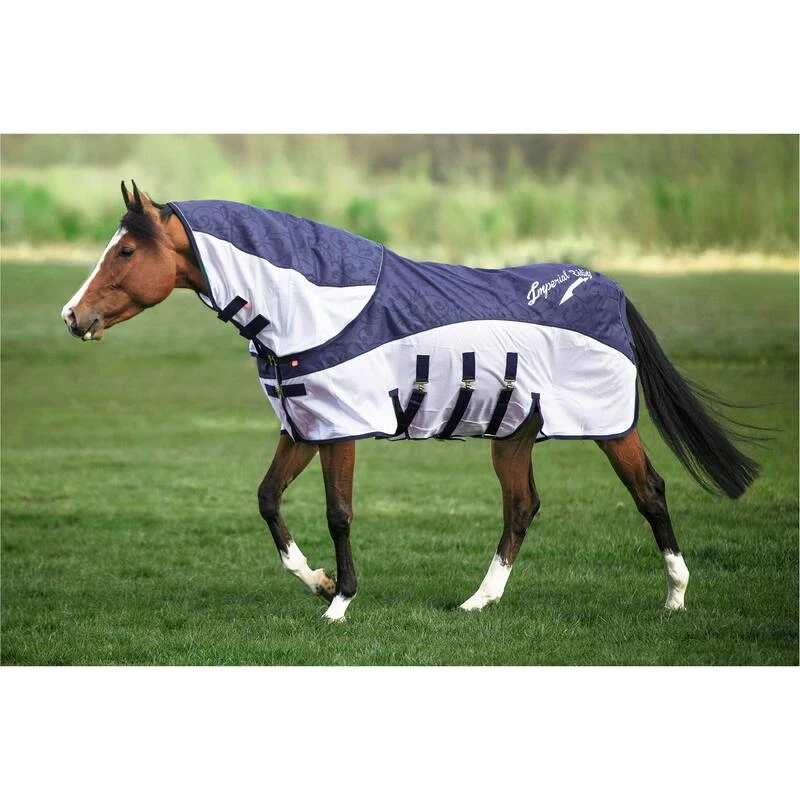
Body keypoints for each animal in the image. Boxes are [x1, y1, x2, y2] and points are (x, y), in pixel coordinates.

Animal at [60, 181, 760, 622]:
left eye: (126, 249)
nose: (72, 316)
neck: (316, 307)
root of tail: (608, 289)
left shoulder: (340, 429)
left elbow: (339, 512)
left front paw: (340, 602)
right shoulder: (304, 424)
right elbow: (267, 500)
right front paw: (317, 582)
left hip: (610, 426)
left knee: (649, 493)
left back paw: (675, 596)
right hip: (513, 433)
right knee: (522, 507)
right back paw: (480, 601)